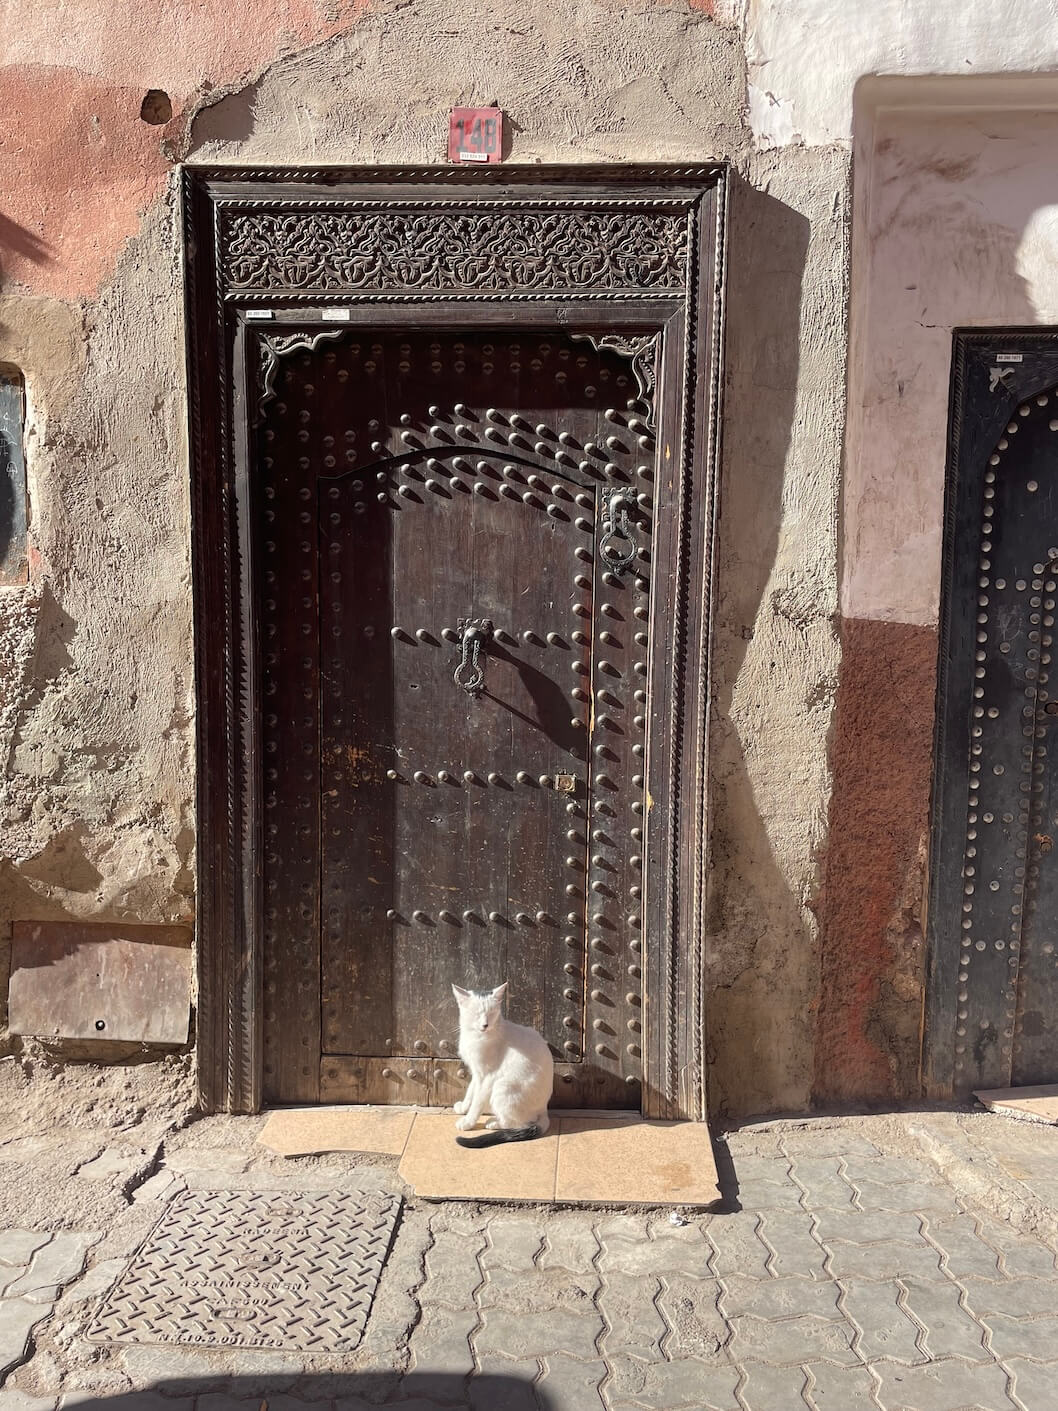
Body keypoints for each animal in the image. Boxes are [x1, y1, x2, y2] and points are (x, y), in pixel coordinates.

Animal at [451, 982, 558, 1145]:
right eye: (477, 1013)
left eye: (492, 1013)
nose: (485, 1025)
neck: (475, 1036)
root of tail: (544, 1109)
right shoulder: (477, 1072)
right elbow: (470, 1091)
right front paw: (463, 1108)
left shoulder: (488, 1076)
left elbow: (477, 1101)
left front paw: (468, 1122)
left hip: (502, 1086)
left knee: (520, 1123)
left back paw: (493, 1122)